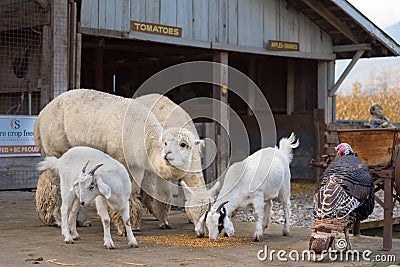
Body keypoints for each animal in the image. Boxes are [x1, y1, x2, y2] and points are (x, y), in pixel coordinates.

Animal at [34, 89, 209, 230]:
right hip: (56, 143)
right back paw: (57, 220)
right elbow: (161, 194)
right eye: (178, 144)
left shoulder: (137, 164)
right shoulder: (124, 159)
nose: (201, 232)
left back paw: (74, 220)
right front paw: (134, 226)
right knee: (56, 182)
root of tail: (41, 114)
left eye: (207, 212)